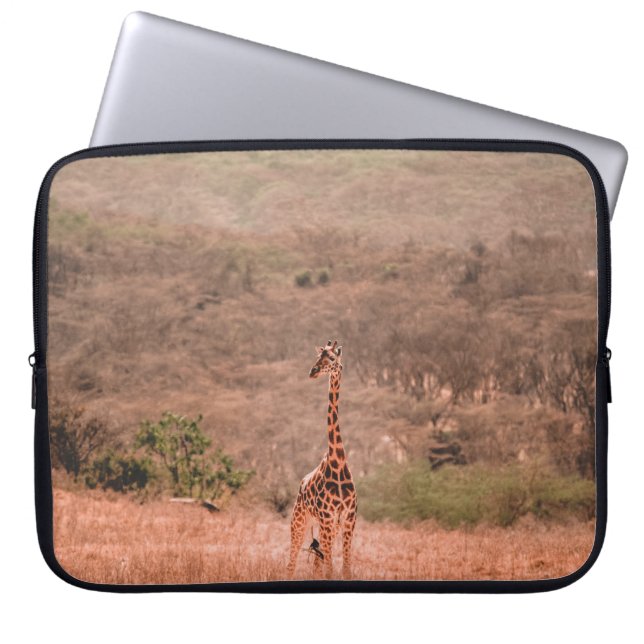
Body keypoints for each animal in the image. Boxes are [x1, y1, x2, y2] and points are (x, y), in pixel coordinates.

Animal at [287, 340, 357, 580]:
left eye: (332, 359)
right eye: (318, 357)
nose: (313, 371)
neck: (338, 462)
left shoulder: (348, 519)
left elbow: (345, 569)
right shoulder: (327, 517)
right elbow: (330, 571)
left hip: (326, 527)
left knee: (317, 562)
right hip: (299, 521)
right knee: (291, 563)